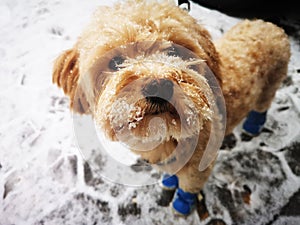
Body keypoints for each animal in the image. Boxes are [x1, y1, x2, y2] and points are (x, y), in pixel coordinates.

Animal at [52, 0, 290, 215]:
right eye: (115, 62)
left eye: (174, 51)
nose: (159, 85)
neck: (166, 134)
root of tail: (270, 26)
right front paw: (169, 182)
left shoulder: (199, 168)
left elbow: (188, 188)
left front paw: (182, 206)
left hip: (269, 85)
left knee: (262, 107)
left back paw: (253, 125)